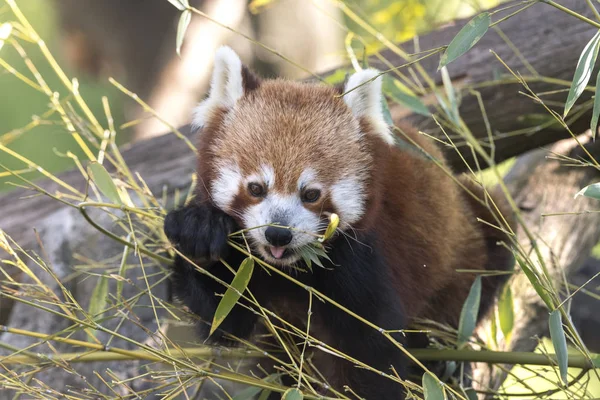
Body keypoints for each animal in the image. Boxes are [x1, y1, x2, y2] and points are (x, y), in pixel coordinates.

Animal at [163, 46, 510, 396]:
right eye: (256, 188)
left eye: (311, 194)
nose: (278, 234)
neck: (290, 270)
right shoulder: (248, 268)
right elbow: (224, 318)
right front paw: (199, 236)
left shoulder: (362, 258)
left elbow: (370, 353)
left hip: (468, 252)